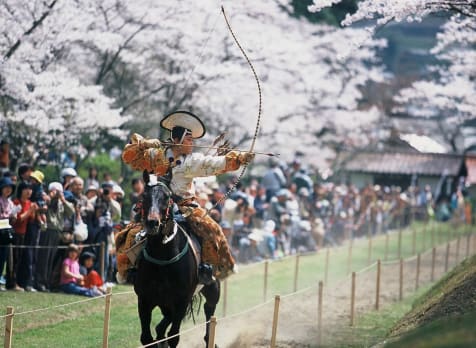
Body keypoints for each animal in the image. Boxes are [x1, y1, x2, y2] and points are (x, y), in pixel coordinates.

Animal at [133, 173, 220, 346]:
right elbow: (146, 338)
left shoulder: (181, 301)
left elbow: (174, 336)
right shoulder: (144, 300)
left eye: (167, 197)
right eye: (144, 196)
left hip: (212, 287)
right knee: (163, 324)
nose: (152, 222)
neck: (162, 256)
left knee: (209, 308)